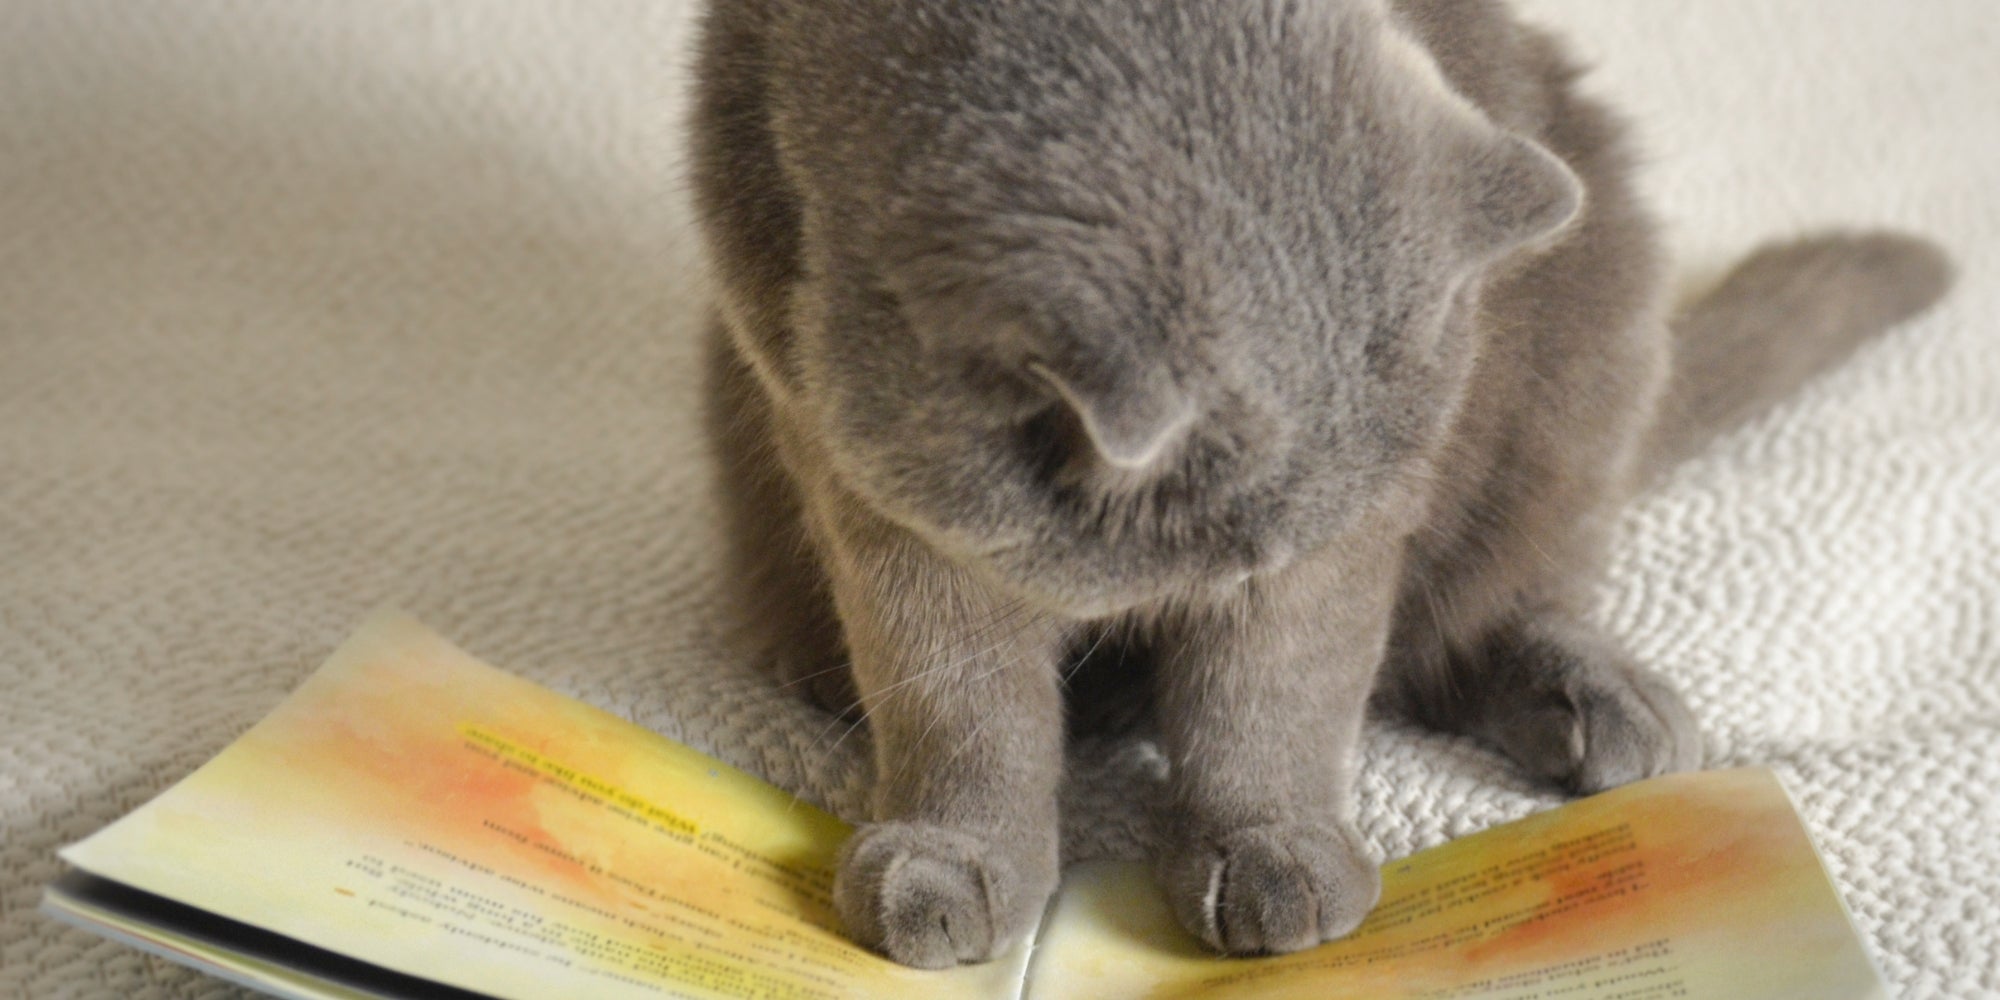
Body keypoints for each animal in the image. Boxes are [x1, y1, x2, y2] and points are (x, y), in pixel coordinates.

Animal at [688, 0, 1952, 968]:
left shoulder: (1364, 517)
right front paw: (954, 864)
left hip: (1590, 328)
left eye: (1264, 553)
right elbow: (955, 694)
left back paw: (1595, 706)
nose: (1244, 568)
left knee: (1486, 605)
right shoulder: (861, 473)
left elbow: (1277, 679)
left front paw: (1270, 853)